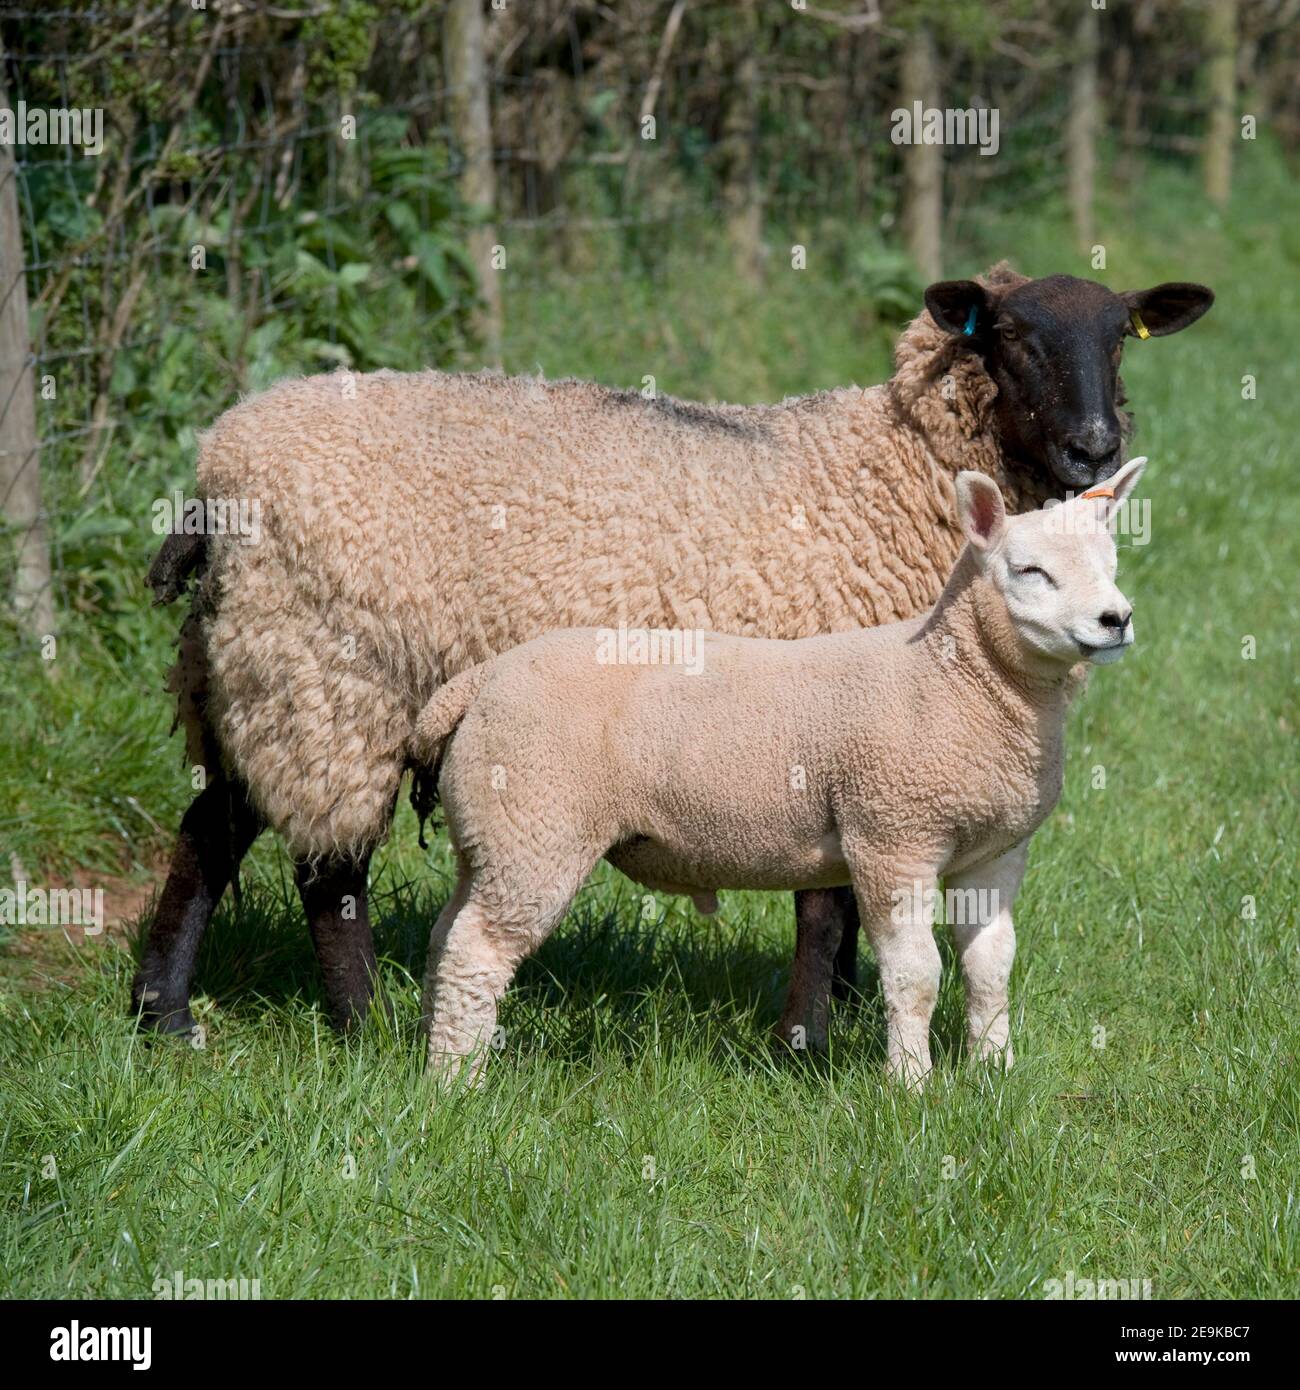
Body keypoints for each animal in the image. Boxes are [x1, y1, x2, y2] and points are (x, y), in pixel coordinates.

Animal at [414, 458, 1151, 1084]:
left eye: (1111, 563)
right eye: (1030, 572)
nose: (1116, 619)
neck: (955, 679)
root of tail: (480, 680)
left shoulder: (995, 851)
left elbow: (991, 966)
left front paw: (994, 1073)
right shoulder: (892, 837)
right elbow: (916, 974)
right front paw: (911, 1085)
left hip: (492, 831)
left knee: (446, 933)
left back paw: (432, 1045)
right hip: (537, 825)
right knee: (477, 950)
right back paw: (457, 1083)